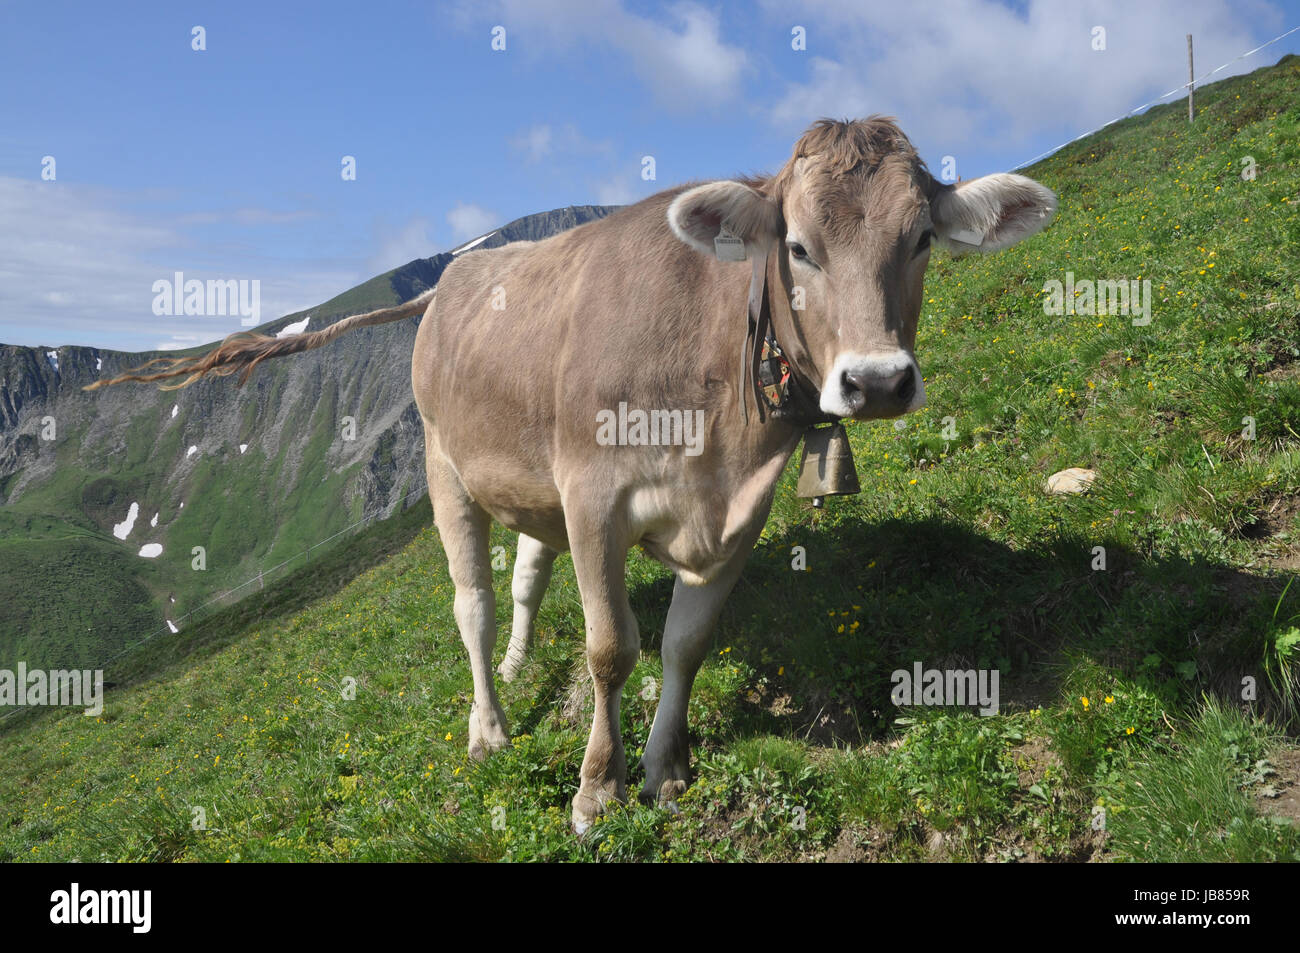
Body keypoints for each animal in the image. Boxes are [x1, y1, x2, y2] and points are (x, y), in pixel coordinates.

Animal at [89, 117, 1056, 833]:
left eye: (922, 238)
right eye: (798, 246)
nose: (878, 380)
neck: (716, 423)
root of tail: (451, 278)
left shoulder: (737, 520)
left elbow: (684, 646)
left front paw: (665, 769)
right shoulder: (594, 497)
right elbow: (610, 647)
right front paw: (597, 790)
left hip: (532, 483)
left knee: (523, 579)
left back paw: (520, 666)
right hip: (446, 467)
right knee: (472, 604)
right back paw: (488, 724)